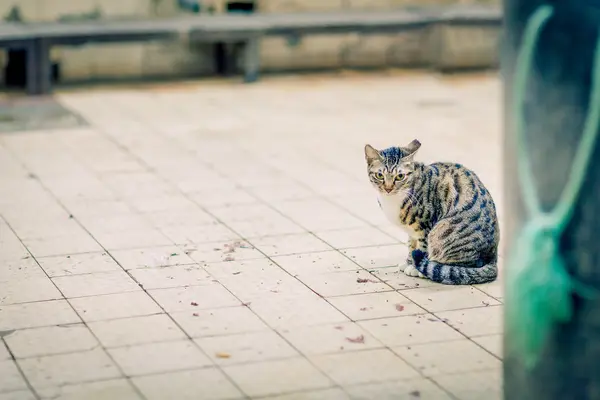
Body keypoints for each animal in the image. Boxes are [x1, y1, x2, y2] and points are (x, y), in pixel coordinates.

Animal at [364, 140, 500, 284]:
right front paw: (409, 262)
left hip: (442, 231)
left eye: (400, 176)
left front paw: (416, 268)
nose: (388, 189)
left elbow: (422, 247)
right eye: (379, 175)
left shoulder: (425, 225)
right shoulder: (412, 231)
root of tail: (493, 259)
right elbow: (411, 245)